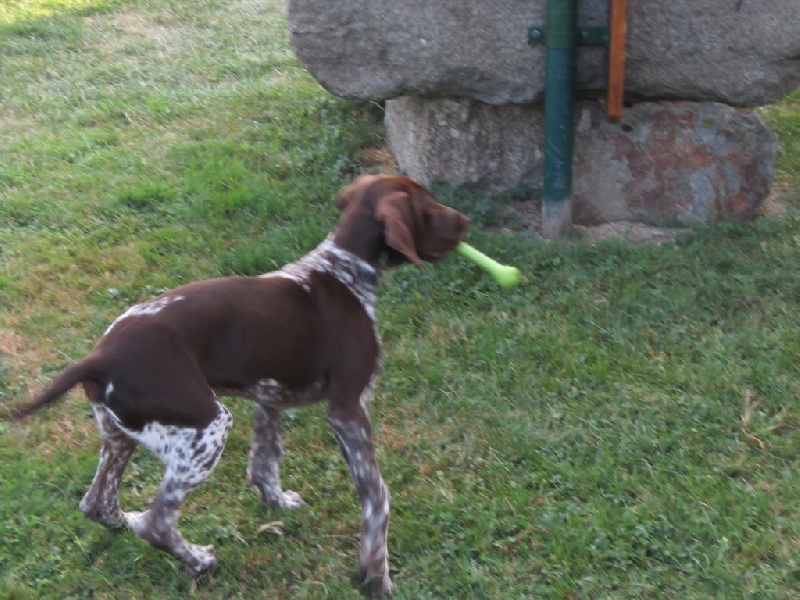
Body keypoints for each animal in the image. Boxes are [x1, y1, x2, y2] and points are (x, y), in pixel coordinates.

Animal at [12, 173, 468, 596]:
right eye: (429, 204)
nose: (464, 221)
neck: (344, 271)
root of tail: (99, 358)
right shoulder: (348, 409)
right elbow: (377, 498)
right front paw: (375, 575)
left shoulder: (269, 397)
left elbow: (265, 462)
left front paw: (277, 503)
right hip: (207, 428)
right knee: (156, 523)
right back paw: (199, 560)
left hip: (120, 436)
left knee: (99, 503)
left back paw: (132, 524)